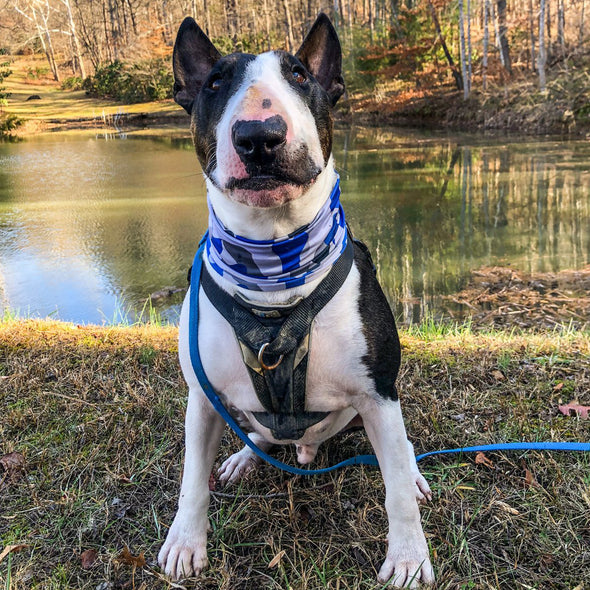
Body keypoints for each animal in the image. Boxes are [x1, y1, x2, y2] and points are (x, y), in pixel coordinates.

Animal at [160, 12, 438, 588]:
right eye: (215, 82)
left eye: (299, 75)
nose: (259, 136)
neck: (274, 271)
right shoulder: (202, 397)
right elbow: (192, 479)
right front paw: (185, 543)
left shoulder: (378, 394)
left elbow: (397, 492)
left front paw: (407, 557)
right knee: (259, 435)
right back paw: (245, 458)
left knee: (401, 453)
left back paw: (414, 472)